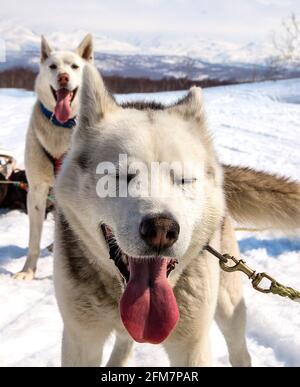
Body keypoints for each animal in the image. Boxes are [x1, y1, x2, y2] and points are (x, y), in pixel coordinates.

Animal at [13, 34, 94, 282]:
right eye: (53, 66)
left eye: (75, 66)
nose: (63, 77)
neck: (62, 127)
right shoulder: (37, 190)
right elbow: (34, 239)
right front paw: (28, 271)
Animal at [54, 65, 300, 368]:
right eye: (121, 175)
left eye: (183, 179)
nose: (161, 229)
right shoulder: (81, 339)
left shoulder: (191, 346)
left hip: (228, 305)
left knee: (239, 350)